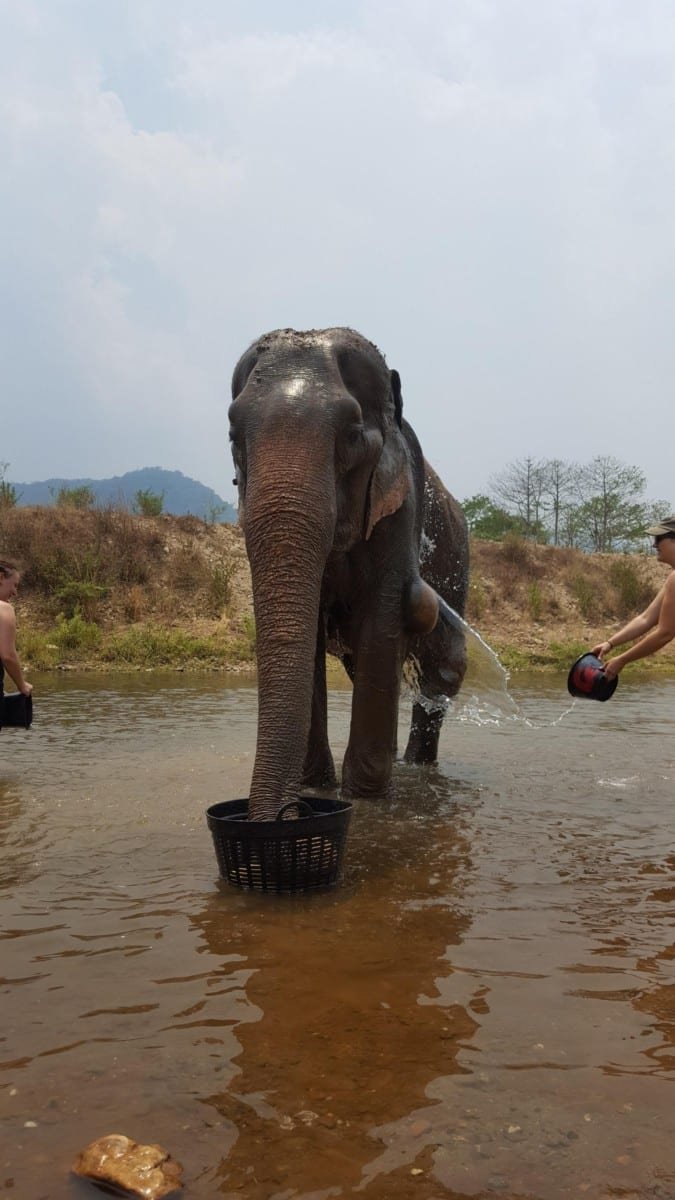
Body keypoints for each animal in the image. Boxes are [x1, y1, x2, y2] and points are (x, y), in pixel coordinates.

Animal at [229, 327, 469, 820]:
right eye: (231, 437)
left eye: (353, 436)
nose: (276, 820)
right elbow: (314, 632)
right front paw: (317, 788)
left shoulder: (401, 504)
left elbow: (382, 618)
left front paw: (365, 801)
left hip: (459, 563)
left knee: (440, 674)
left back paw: (416, 770)